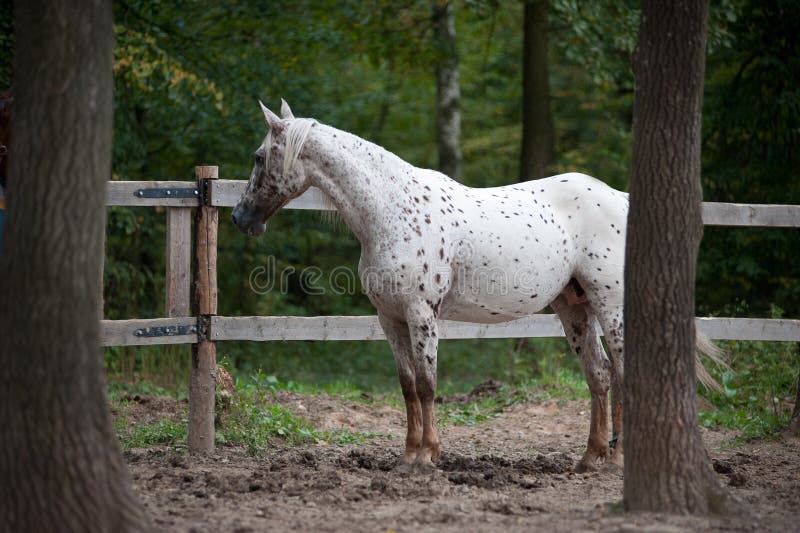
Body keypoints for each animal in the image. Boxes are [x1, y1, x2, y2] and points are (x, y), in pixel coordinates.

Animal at [232, 100, 725, 472]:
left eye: (258, 156)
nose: (240, 218)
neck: (391, 210)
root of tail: (618, 197)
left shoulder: (421, 314)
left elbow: (428, 384)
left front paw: (428, 457)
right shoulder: (389, 319)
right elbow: (406, 385)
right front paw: (407, 457)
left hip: (611, 304)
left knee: (621, 374)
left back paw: (618, 462)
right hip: (574, 308)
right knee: (599, 375)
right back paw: (590, 458)